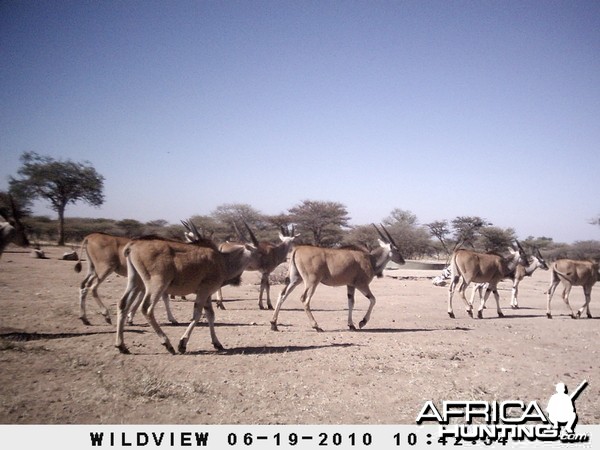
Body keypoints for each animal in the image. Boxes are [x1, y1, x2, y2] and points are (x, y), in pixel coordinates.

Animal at [115, 221, 258, 356]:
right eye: (258, 252)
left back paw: (121, 346)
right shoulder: (204, 291)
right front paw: (182, 344)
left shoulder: (207, 294)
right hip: (157, 284)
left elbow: (210, 315)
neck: (222, 260)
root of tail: (132, 245)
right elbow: (197, 315)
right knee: (146, 308)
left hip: (135, 282)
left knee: (123, 304)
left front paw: (217, 343)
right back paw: (168, 344)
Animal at [270, 225, 404, 334]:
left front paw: (351, 325)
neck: (371, 259)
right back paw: (316, 326)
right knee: (304, 299)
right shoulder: (362, 285)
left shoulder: (350, 285)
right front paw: (362, 322)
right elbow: (373, 299)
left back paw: (273, 324)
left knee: (282, 294)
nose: (403, 261)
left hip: (295, 280)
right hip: (312, 282)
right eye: (397, 249)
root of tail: (297, 249)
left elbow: (351, 302)